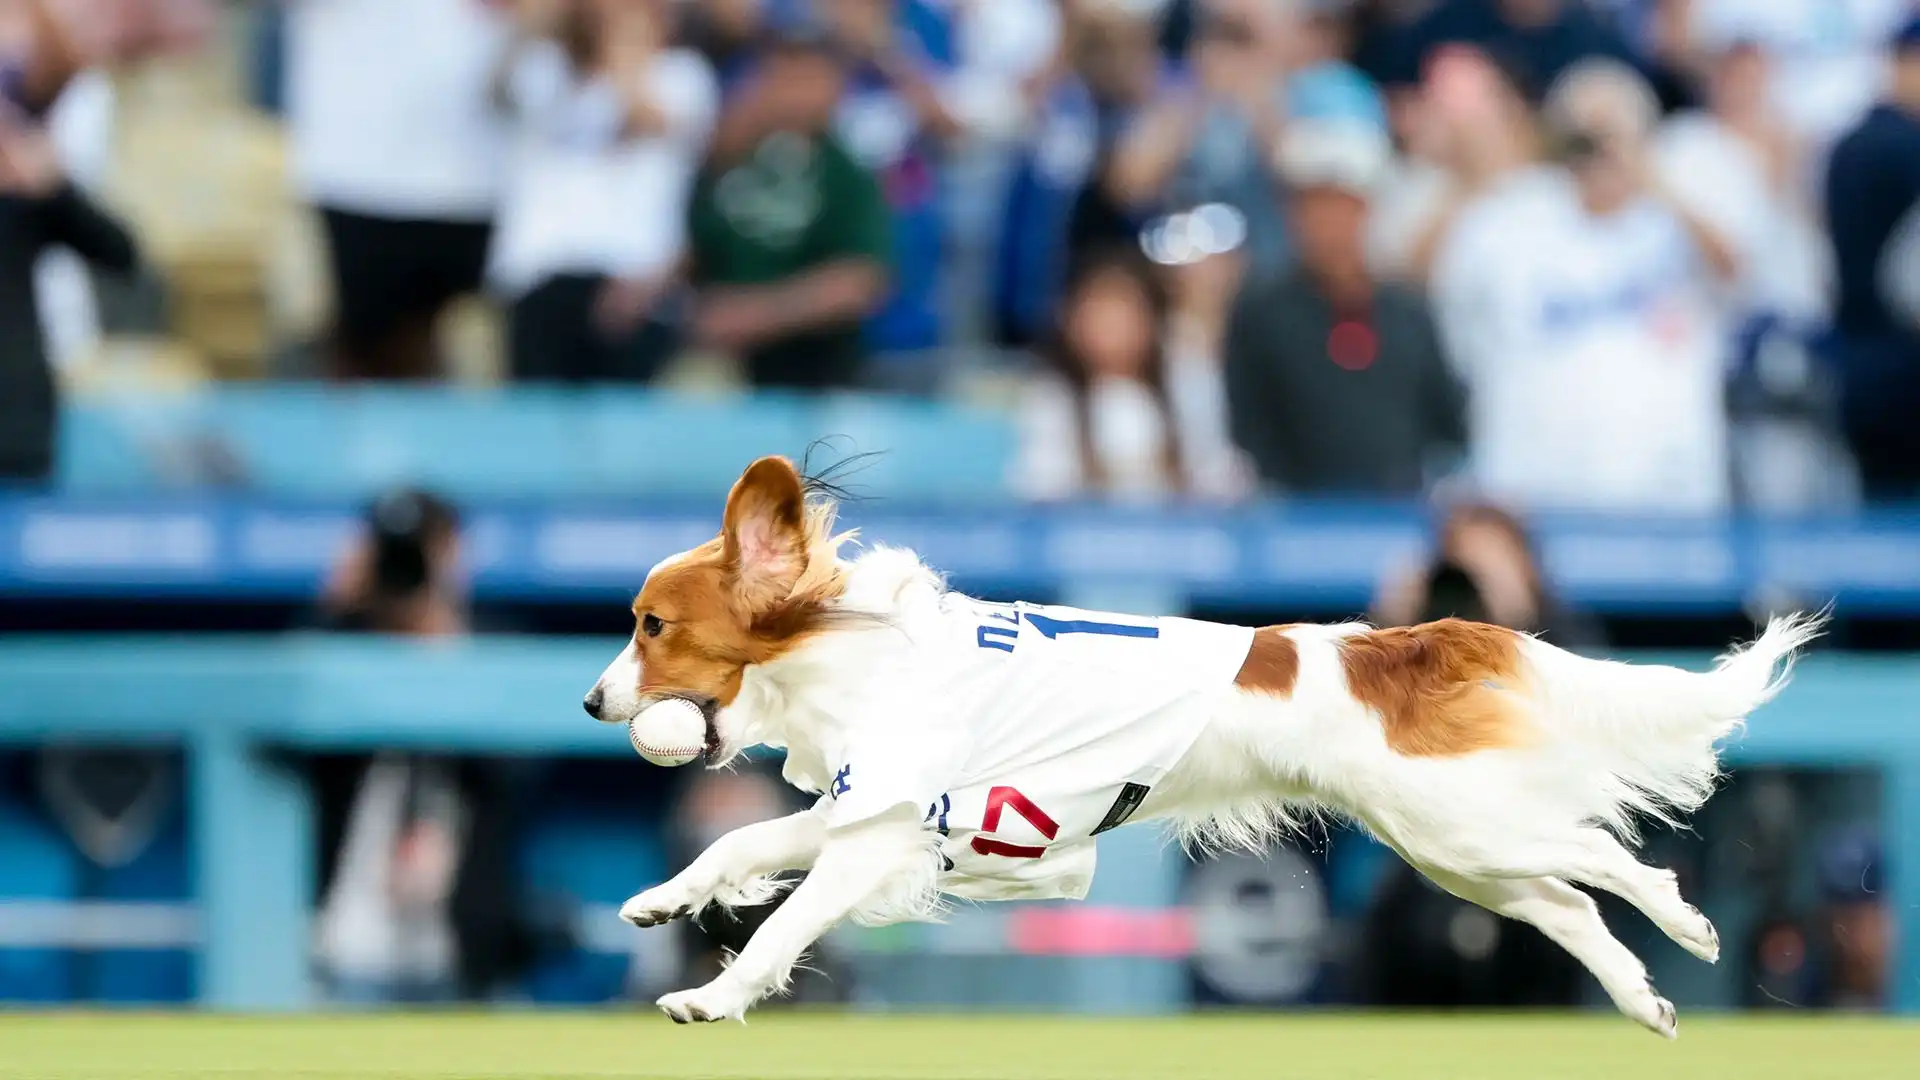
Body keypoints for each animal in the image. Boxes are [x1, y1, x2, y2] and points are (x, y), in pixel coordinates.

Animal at [579, 451, 1812, 1022]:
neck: (858, 654)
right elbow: (743, 847)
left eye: (650, 626)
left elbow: (786, 922)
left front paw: (713, 998)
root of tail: (1397, 642)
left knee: (1606, 857)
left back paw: (1687, 927)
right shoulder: (871, 807)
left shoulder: (876, 837)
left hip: (1461, 823)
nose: (591, 703)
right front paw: (665, 900)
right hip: (1449, 846)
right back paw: (1641, 998)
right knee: (1565, 902)